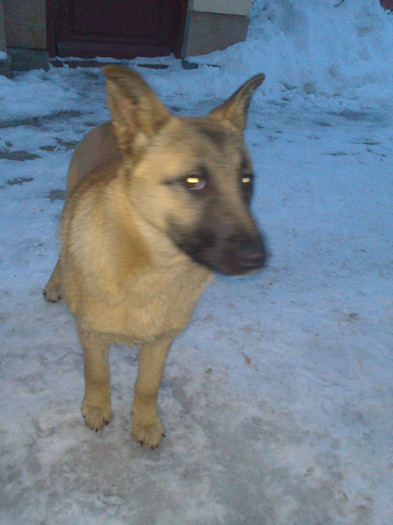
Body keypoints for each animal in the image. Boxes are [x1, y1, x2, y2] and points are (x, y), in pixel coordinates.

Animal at [44, 65, 268, 448]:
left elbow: (148, 385)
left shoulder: (162, 341)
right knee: (62, 250)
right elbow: (98, 373)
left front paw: (146, 421)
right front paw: (97, 407)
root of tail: (108, 123)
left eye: (246, 180)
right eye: (193, 181)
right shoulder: (91, 335)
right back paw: (57, 284)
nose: (259, 257)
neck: (152, 268)